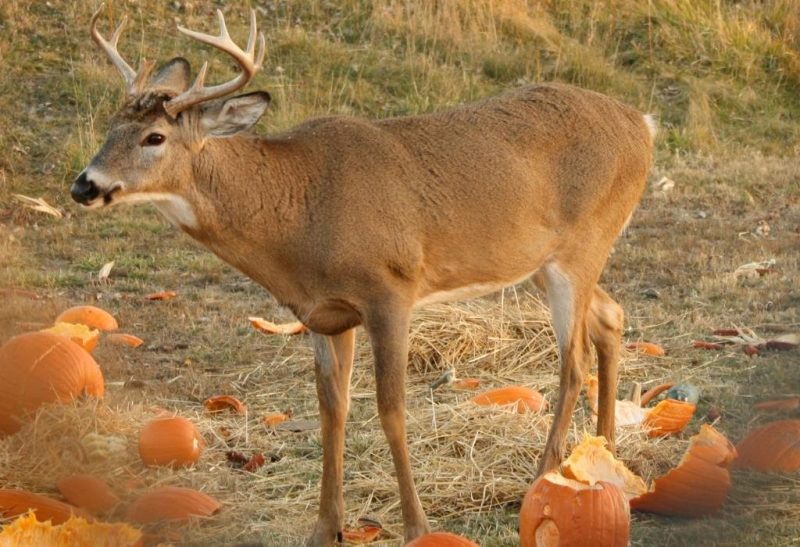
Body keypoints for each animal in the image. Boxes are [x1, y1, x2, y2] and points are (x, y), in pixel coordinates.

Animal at [70, 6, 656, 544]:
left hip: (582, 245)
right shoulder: (324, 314)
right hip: (541, 259)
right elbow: (333, 409)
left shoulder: (390, 289)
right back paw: (604, 459)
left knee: (573, 360)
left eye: (154, 137)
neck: (298, 211)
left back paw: (544, 479)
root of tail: (643, 124)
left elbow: (391, 409)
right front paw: (326, 527)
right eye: (110, 127)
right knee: (611, 316)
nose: (83, 185)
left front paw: (418, 526)